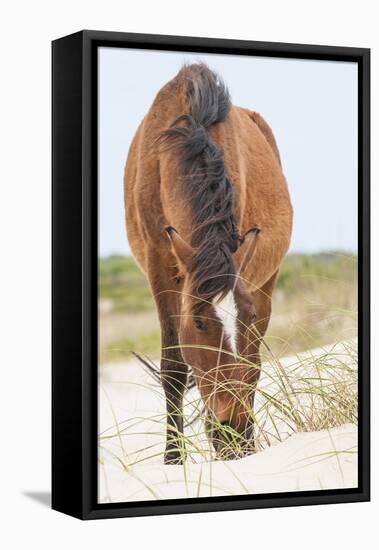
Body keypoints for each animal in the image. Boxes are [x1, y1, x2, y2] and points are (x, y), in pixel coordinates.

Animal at [124, 62, 294, 464]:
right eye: (199, 324)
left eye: (245, 315)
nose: (232, 429)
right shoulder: (159, 265)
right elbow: (173, 367)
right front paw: (173, 460)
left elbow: (248, 362)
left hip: (267, 280)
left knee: (254, 361)